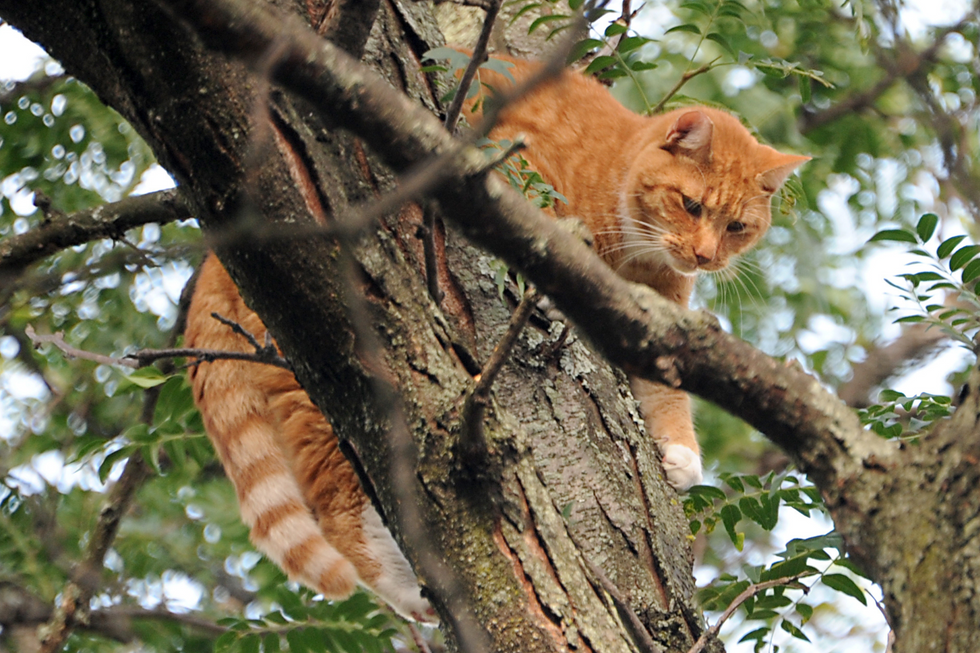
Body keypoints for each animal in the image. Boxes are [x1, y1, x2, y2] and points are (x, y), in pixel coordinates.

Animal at [182, 49, 804, 616]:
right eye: (691, 205)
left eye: (736, 227)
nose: (704, 256)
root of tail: (217, 258)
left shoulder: (652, 328)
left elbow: (667, 394)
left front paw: (679, 452)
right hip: (317, 372)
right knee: (337, 511)